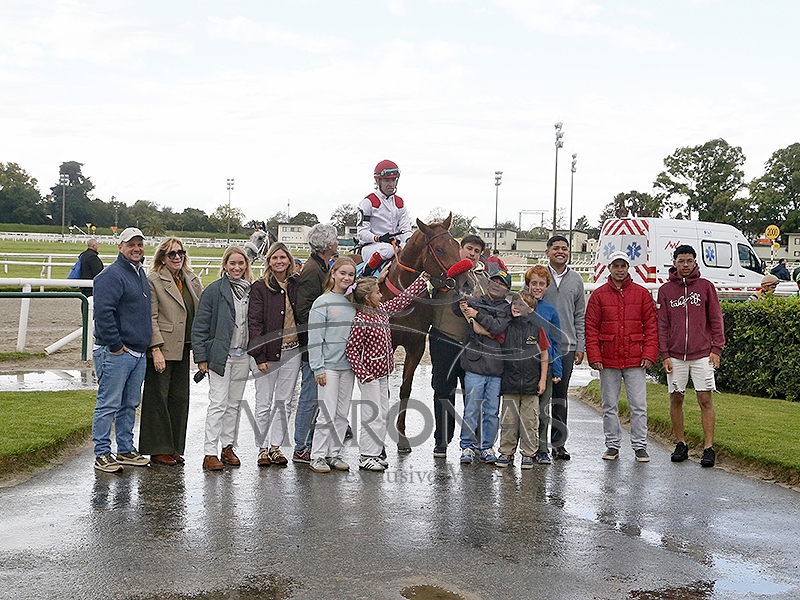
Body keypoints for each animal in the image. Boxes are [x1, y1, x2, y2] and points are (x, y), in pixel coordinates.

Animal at [376, 213, 467, 453]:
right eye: (440, 248)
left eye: (457, 245)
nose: (466, 281)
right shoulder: (386, 345)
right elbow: (383, 390)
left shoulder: (416, 345)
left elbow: (405, 389)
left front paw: (402, 438)